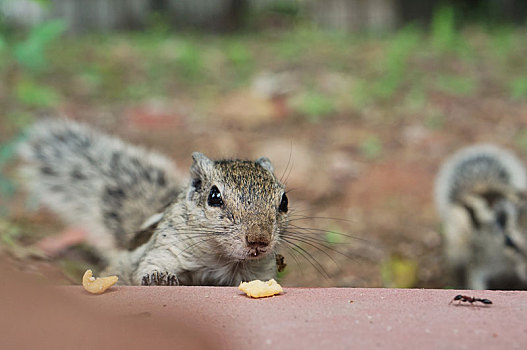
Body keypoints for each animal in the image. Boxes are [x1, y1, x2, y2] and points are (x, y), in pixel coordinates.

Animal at [18, 119, 288, 286]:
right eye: (214, 197)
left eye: (284, 201)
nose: (259, 240)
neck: (224, 260)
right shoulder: (165, 249)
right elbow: (148, 267)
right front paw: (159, 278)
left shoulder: (258, 269)